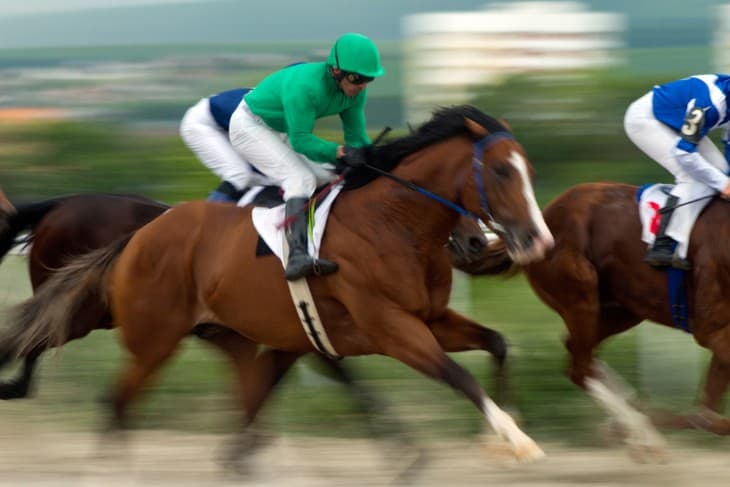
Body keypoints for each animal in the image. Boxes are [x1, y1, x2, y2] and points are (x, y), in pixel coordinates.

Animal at [2, 105, 554, 464]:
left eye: (530, 169)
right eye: (501, 171)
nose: (536, 240)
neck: (391, 224)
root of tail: (140, 236)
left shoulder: (426, 319)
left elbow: (497, 343)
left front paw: (498, 433)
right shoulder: (388, 328)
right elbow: (456, 376)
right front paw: (515, 439)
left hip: (225, 336)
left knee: (238, 397)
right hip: (142, 333)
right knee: (97, 388)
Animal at [472, 181, 730, 460]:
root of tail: (542, 219)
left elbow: (708, 411)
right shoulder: (711, 329)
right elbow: (707, 414)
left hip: (623, 309)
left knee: (579, 352)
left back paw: (633, 419)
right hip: (581, 297)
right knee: (579, 367)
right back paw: (641, 433)